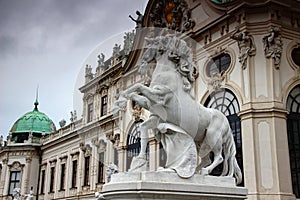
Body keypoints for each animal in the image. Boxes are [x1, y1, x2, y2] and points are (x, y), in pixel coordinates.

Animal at [113, 34, 243, 184]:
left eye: (151, 47)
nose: (141, 65)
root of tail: (226, 120)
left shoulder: (158, 96)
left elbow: (138, 86)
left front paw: (118, 103)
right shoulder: (153, 111)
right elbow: (142, 124)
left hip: (213, 136)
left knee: (219, 157)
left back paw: (203, 172)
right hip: (201, 141)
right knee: (206, 159)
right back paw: (192, 171)